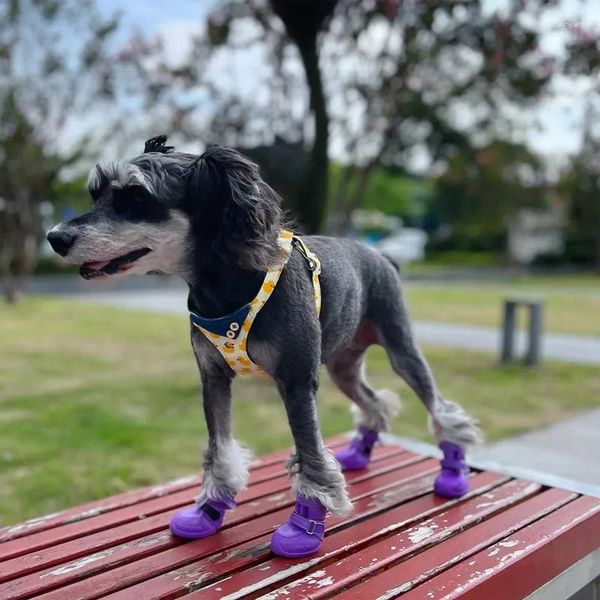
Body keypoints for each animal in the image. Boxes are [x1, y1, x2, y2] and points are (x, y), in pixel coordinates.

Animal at [47, 138, 480, 524]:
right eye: (95, 194)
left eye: (137, 196)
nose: (55, 238)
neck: (229, 284)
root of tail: (382, 256)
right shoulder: (213, 379)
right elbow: (220, 450)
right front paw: (210, 508)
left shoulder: (296, 382)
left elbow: (311, 457)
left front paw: (304, 524)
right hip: (342, 366)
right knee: (373, 403)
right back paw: (361, 452)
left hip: (400, 346)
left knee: (441, 409)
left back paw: (453, 470)